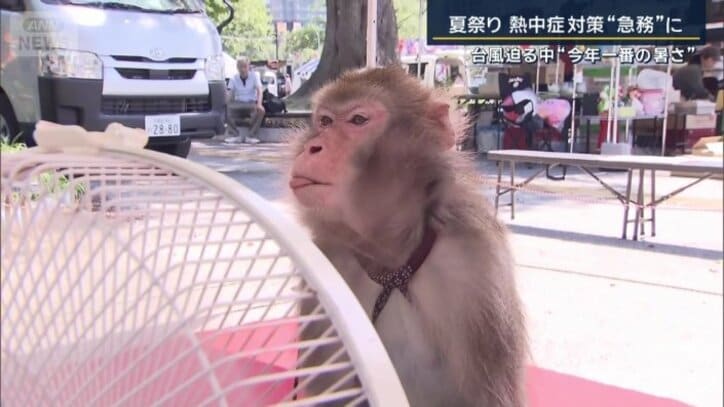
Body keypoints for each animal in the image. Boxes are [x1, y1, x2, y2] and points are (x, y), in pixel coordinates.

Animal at [284, 65, 529, 407]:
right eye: (325, 122)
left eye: (358, 120)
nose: (313, 146)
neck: (392, 263)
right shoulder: (326, 268)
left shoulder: (477, 265)